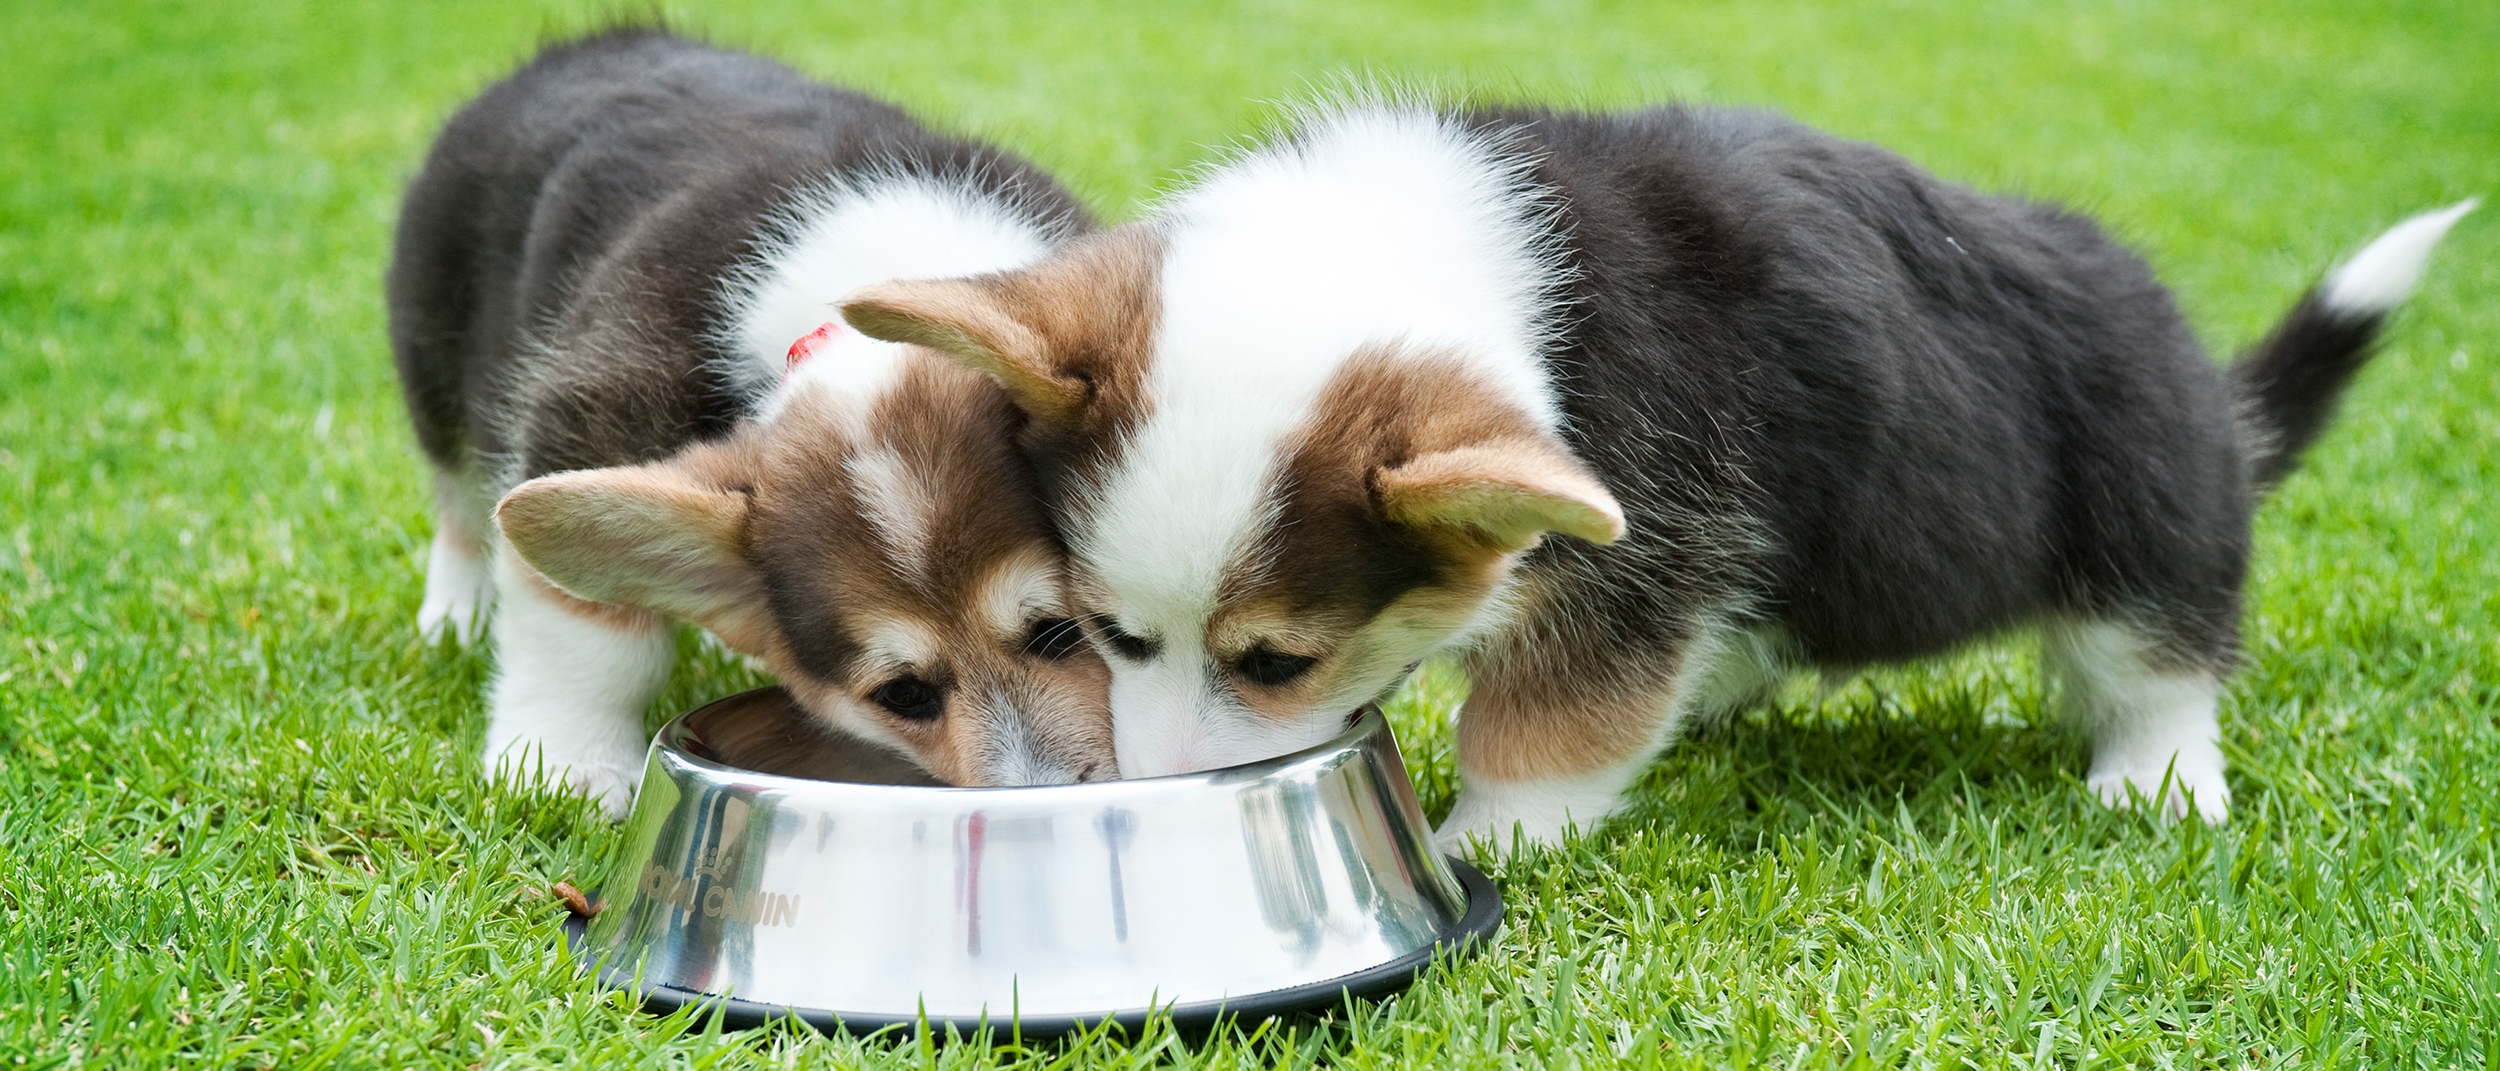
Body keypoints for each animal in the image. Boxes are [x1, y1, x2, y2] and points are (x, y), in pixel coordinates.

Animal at [387, 29, 1115, 815]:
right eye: (905, 694)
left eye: (1060, 631)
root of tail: (593, 44)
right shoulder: (582, 415)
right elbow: (588, 632)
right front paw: (570, 764)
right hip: (436, 366)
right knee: (462, 505)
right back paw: (456, 618)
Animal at [830, 102, 2470, 855]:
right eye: (1109, 633)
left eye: (1276, 659)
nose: (1158, 797)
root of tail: (2206, 385)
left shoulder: (1636, 567)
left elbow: (1541, 727)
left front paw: (1484, 845)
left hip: (2138, 512)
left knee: (2161, 662)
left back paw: (2157, 781)